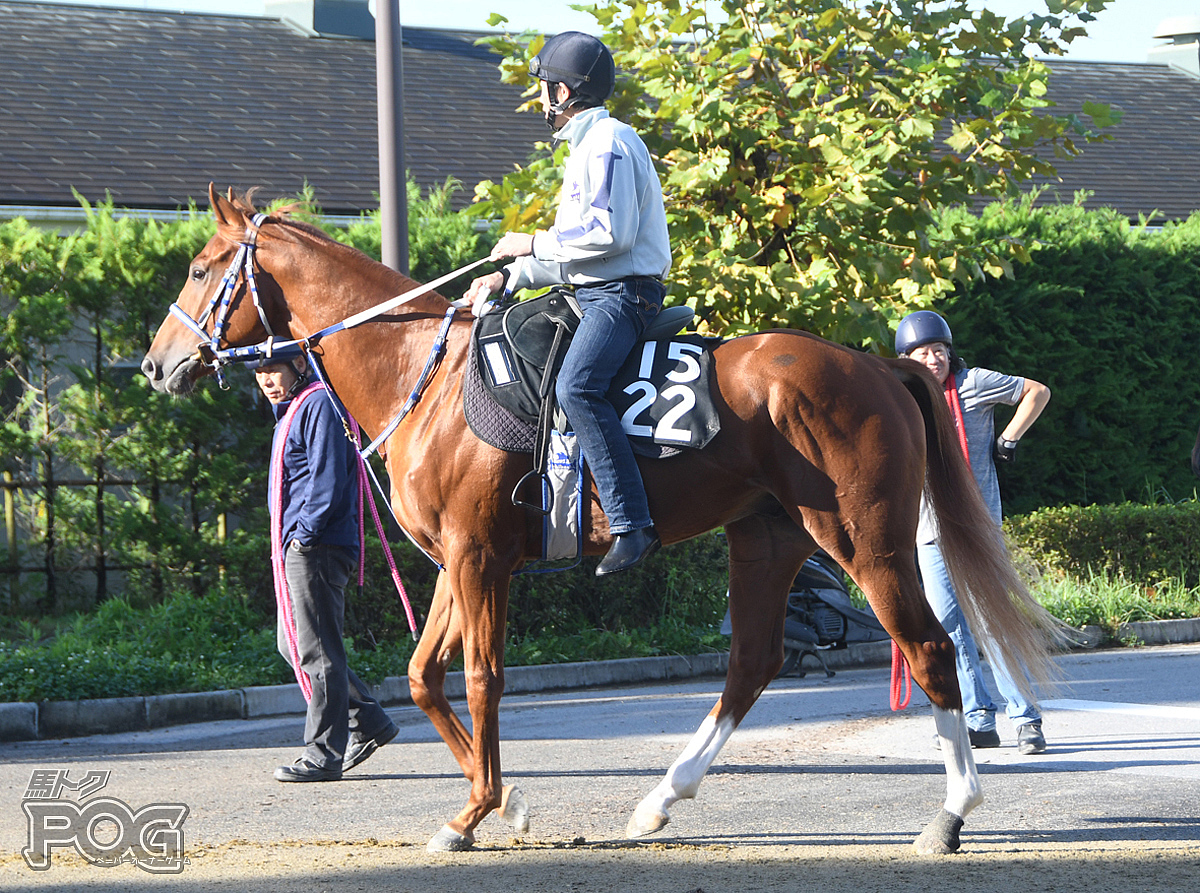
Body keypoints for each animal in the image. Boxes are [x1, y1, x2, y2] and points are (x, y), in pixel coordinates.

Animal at [142, 188, 1060, 859]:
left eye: (198, 268)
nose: (157, 364)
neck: (422, 375)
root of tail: (876, 365)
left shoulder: (479, 560)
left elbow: (481, 678)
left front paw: (477, 810)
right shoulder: (455, 561)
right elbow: (422, 676)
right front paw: (504, 801)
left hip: (865, 541)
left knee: (930, 647)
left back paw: (952, 812)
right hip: (767, 536)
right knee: (752, 662)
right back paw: (659, 799)